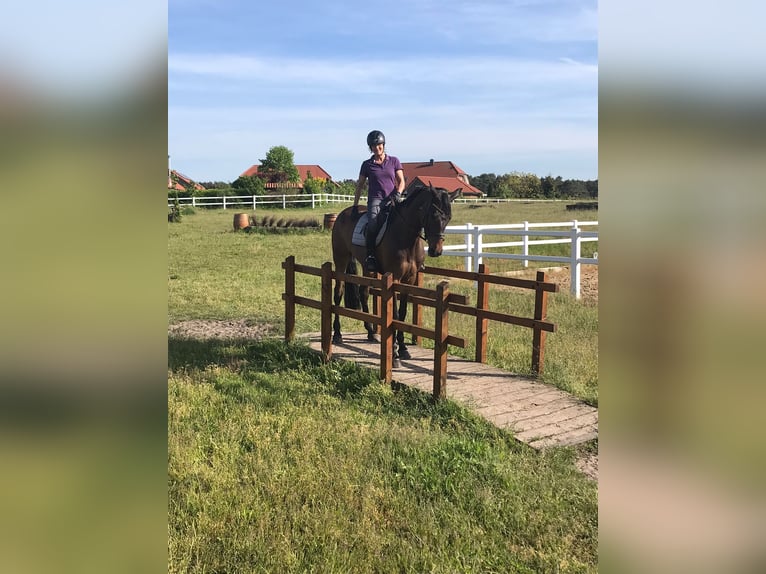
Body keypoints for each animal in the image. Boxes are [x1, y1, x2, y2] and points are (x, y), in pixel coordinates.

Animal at [330, 182, 461, 364]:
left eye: (448, 218)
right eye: (434, 215)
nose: (436, 251)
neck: (407, 238)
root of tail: (343, 213)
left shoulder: (409, 280)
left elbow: (403, 313)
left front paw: (404, 349)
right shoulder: (395, 278)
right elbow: (396, 314)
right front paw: (395, 352)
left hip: (366, 267)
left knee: (364, 293)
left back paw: (370, 332)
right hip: (340, 261)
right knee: (338, 293)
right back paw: (337, 334)